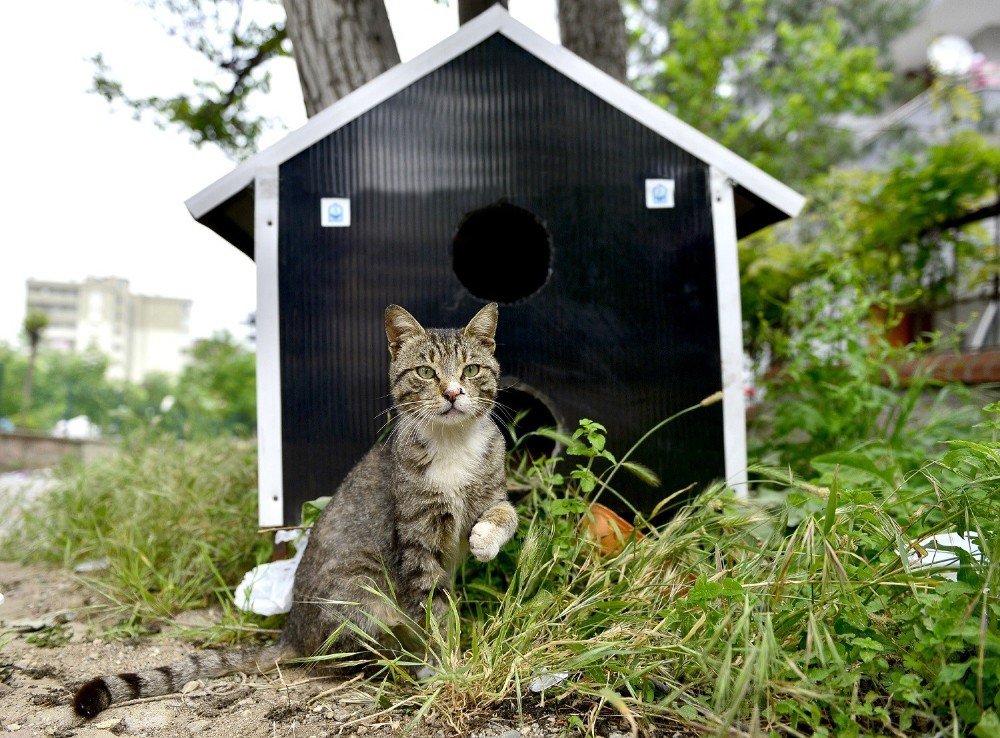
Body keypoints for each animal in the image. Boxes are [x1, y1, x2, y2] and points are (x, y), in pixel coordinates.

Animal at [74, 302, 520, 716]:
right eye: (426, 372)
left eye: (471, 370)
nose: (452, 393)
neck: (453, 443)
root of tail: (291, 632)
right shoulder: (417, 542)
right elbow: (433, 610)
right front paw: (445, 664)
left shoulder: (490, 491)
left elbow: (507, 513)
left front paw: (484, 541)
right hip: (363, 593)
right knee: (348, 656)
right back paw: (398, 664)